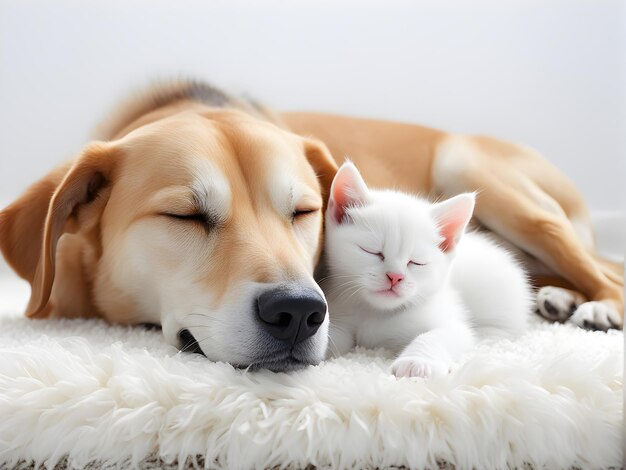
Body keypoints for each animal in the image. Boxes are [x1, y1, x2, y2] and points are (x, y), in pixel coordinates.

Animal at [320, 162, 528, 378]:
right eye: (372, 251)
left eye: (416, 262)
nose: (395, 277)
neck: (377, 312)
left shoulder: (450, 319)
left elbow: (442, 334)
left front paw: (416, 362)